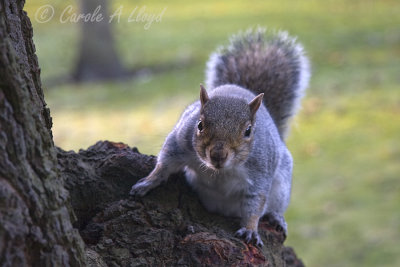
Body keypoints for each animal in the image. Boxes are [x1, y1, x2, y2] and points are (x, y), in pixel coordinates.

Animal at [130, 27, 310, 247]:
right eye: (200, 125)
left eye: (248, 131)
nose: (218, 155)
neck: (222, 171)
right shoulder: (178, 143)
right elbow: (164, 164)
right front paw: (148, 182)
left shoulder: (260, 169)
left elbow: (256, 202)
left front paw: (250, 229)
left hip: (282, 185)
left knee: (273, 206)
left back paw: (277, 217)